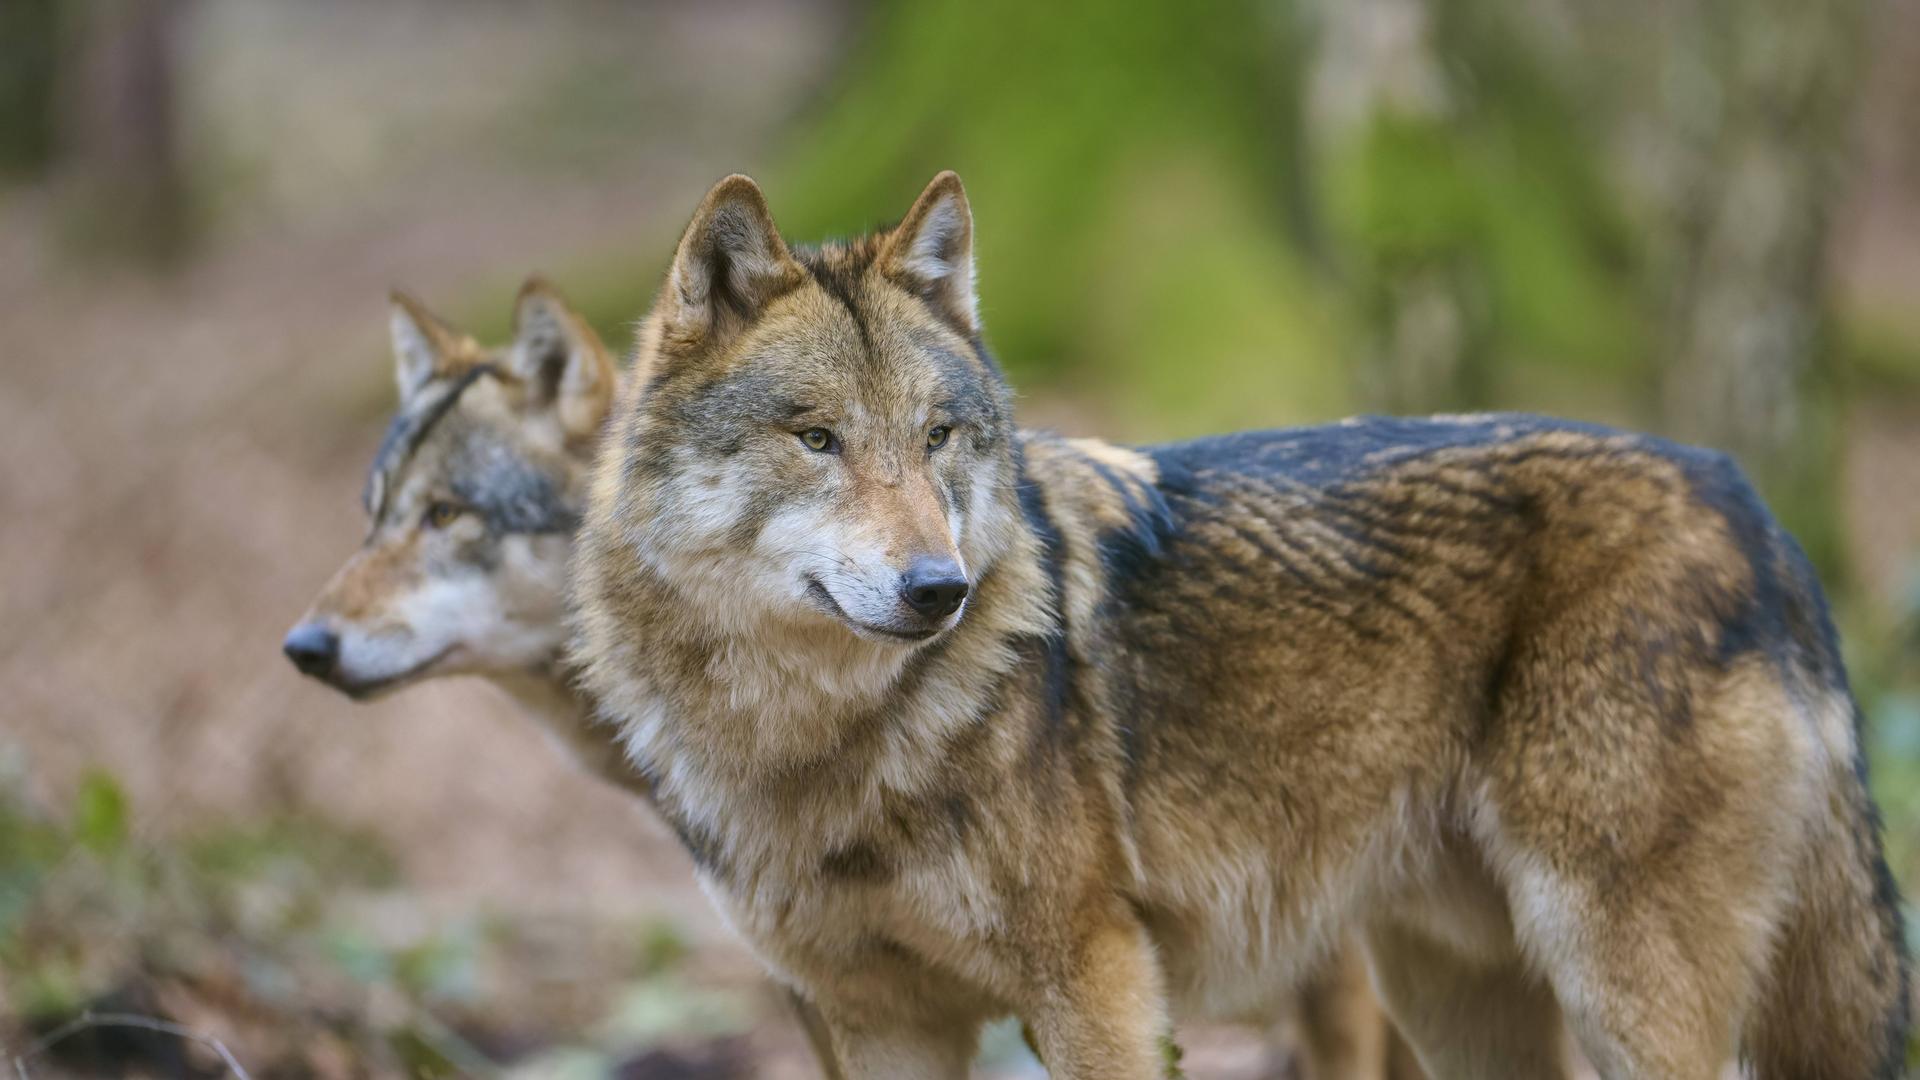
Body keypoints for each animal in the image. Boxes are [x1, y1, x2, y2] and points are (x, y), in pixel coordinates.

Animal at [571, 171, 1910, 1079]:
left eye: (939, 436)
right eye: (818, 439)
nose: (938, 589)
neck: (817, 746)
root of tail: (1751, 505)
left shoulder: (1098, 980)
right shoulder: (879, 1023)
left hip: (1617, 980)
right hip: (1457, 989)